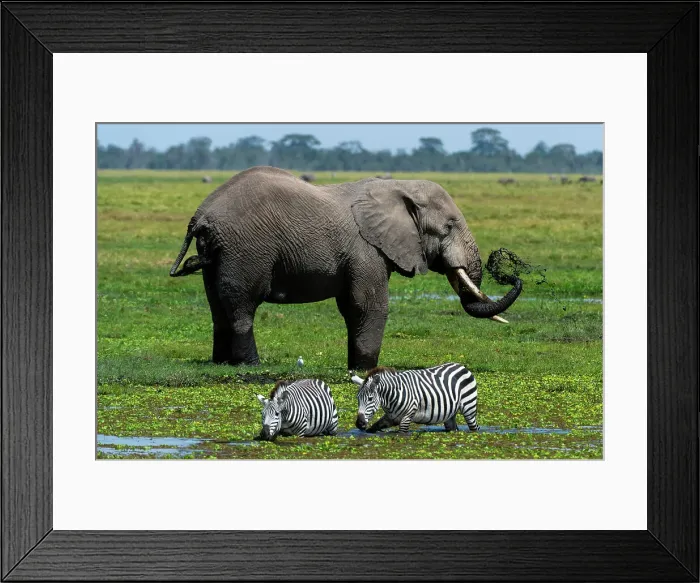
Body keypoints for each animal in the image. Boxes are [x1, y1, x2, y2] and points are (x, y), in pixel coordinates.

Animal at [169, 166, 523, 370]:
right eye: (449, 227)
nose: (513, 275)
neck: (397, 187)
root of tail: (201, 215)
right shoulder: (365, 249)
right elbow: (367, 305)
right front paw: (365, 371)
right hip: (245, 250)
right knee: (242, 306)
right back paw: (251, 367)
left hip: (221, 253)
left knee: (218, 307)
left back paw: (221, 364)